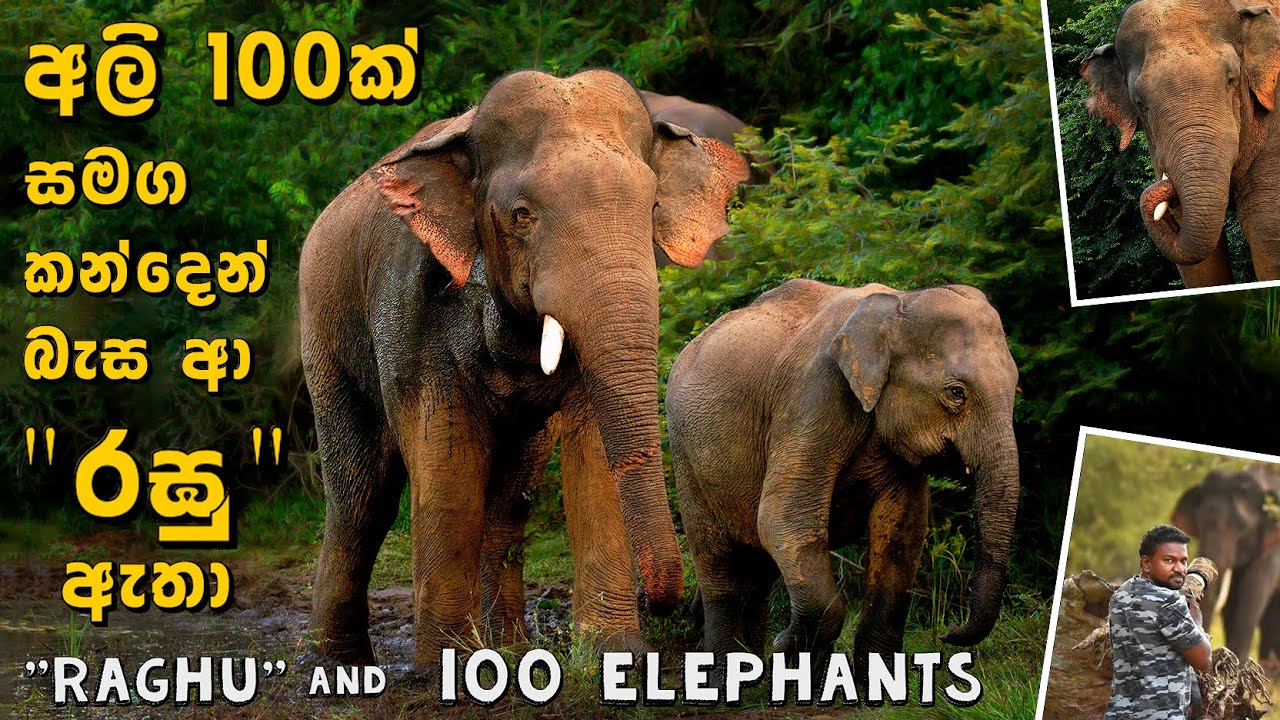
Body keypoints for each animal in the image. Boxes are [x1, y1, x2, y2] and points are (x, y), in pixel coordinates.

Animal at [298, 69, 748, 671]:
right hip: (325, 336)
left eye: (652, 206)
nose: (664, 604)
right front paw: (444, 670)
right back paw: (342, 666)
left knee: (510, 494)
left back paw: (507, 648)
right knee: (361, 501)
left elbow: (591, 449)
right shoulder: (409, 307)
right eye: (522, 216)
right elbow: (446, 458)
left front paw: (615, 656)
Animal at [667, 279, 1021, 673]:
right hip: (686, 456)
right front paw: (785, 644)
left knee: (758, 571)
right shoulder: (813, 396)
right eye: (956, 393)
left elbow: (902, 534)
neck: (898, 304)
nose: (948, 632)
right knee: (719, 566)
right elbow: (782, 520)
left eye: (1016, 388)